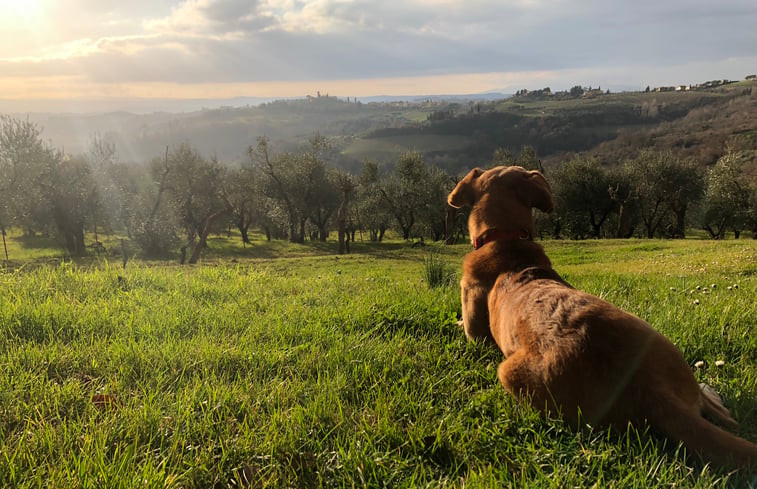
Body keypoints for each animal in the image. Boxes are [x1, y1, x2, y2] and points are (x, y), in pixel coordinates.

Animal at [448, 166, 756, 470]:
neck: (506, 241)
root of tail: (650, 390)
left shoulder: (476, 336)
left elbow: (466, 327)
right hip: (661, 343)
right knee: (720, 413)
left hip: (509, 373)